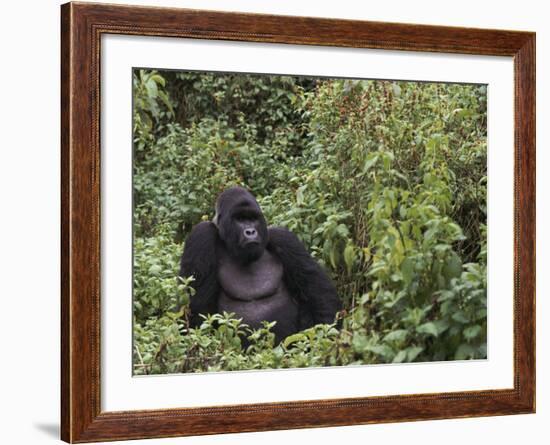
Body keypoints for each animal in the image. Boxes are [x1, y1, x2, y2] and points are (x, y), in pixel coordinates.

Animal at [180, 186, 340, 342]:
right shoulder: (201, 235)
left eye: (253, 218)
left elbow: (318, 293)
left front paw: (325, 337)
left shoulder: (284, 238)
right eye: (240, 219)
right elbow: (195, 308)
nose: (251, 231)